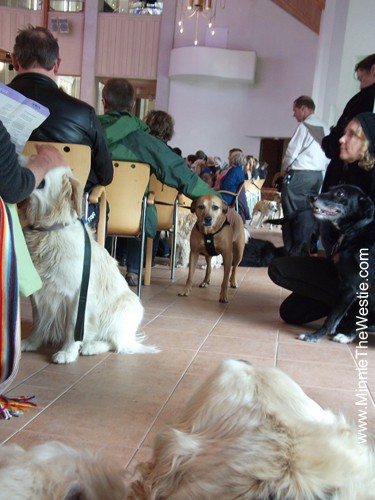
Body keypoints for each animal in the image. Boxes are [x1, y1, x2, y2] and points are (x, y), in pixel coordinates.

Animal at [21, 168, 156, 364]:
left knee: (115, 343)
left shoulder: (78, 294)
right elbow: (38, 320)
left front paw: (67, 353)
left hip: (123, 308)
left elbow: (73, 327)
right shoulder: (42, 292)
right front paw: (32, 342)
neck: (49, 230)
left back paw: (91, 346)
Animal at [300, 184, 375, 344]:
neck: (358, 228)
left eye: (340, 194)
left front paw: (314, 336)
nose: (311, 197)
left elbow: (331, 318)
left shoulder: (351, 288)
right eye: (330, 189)